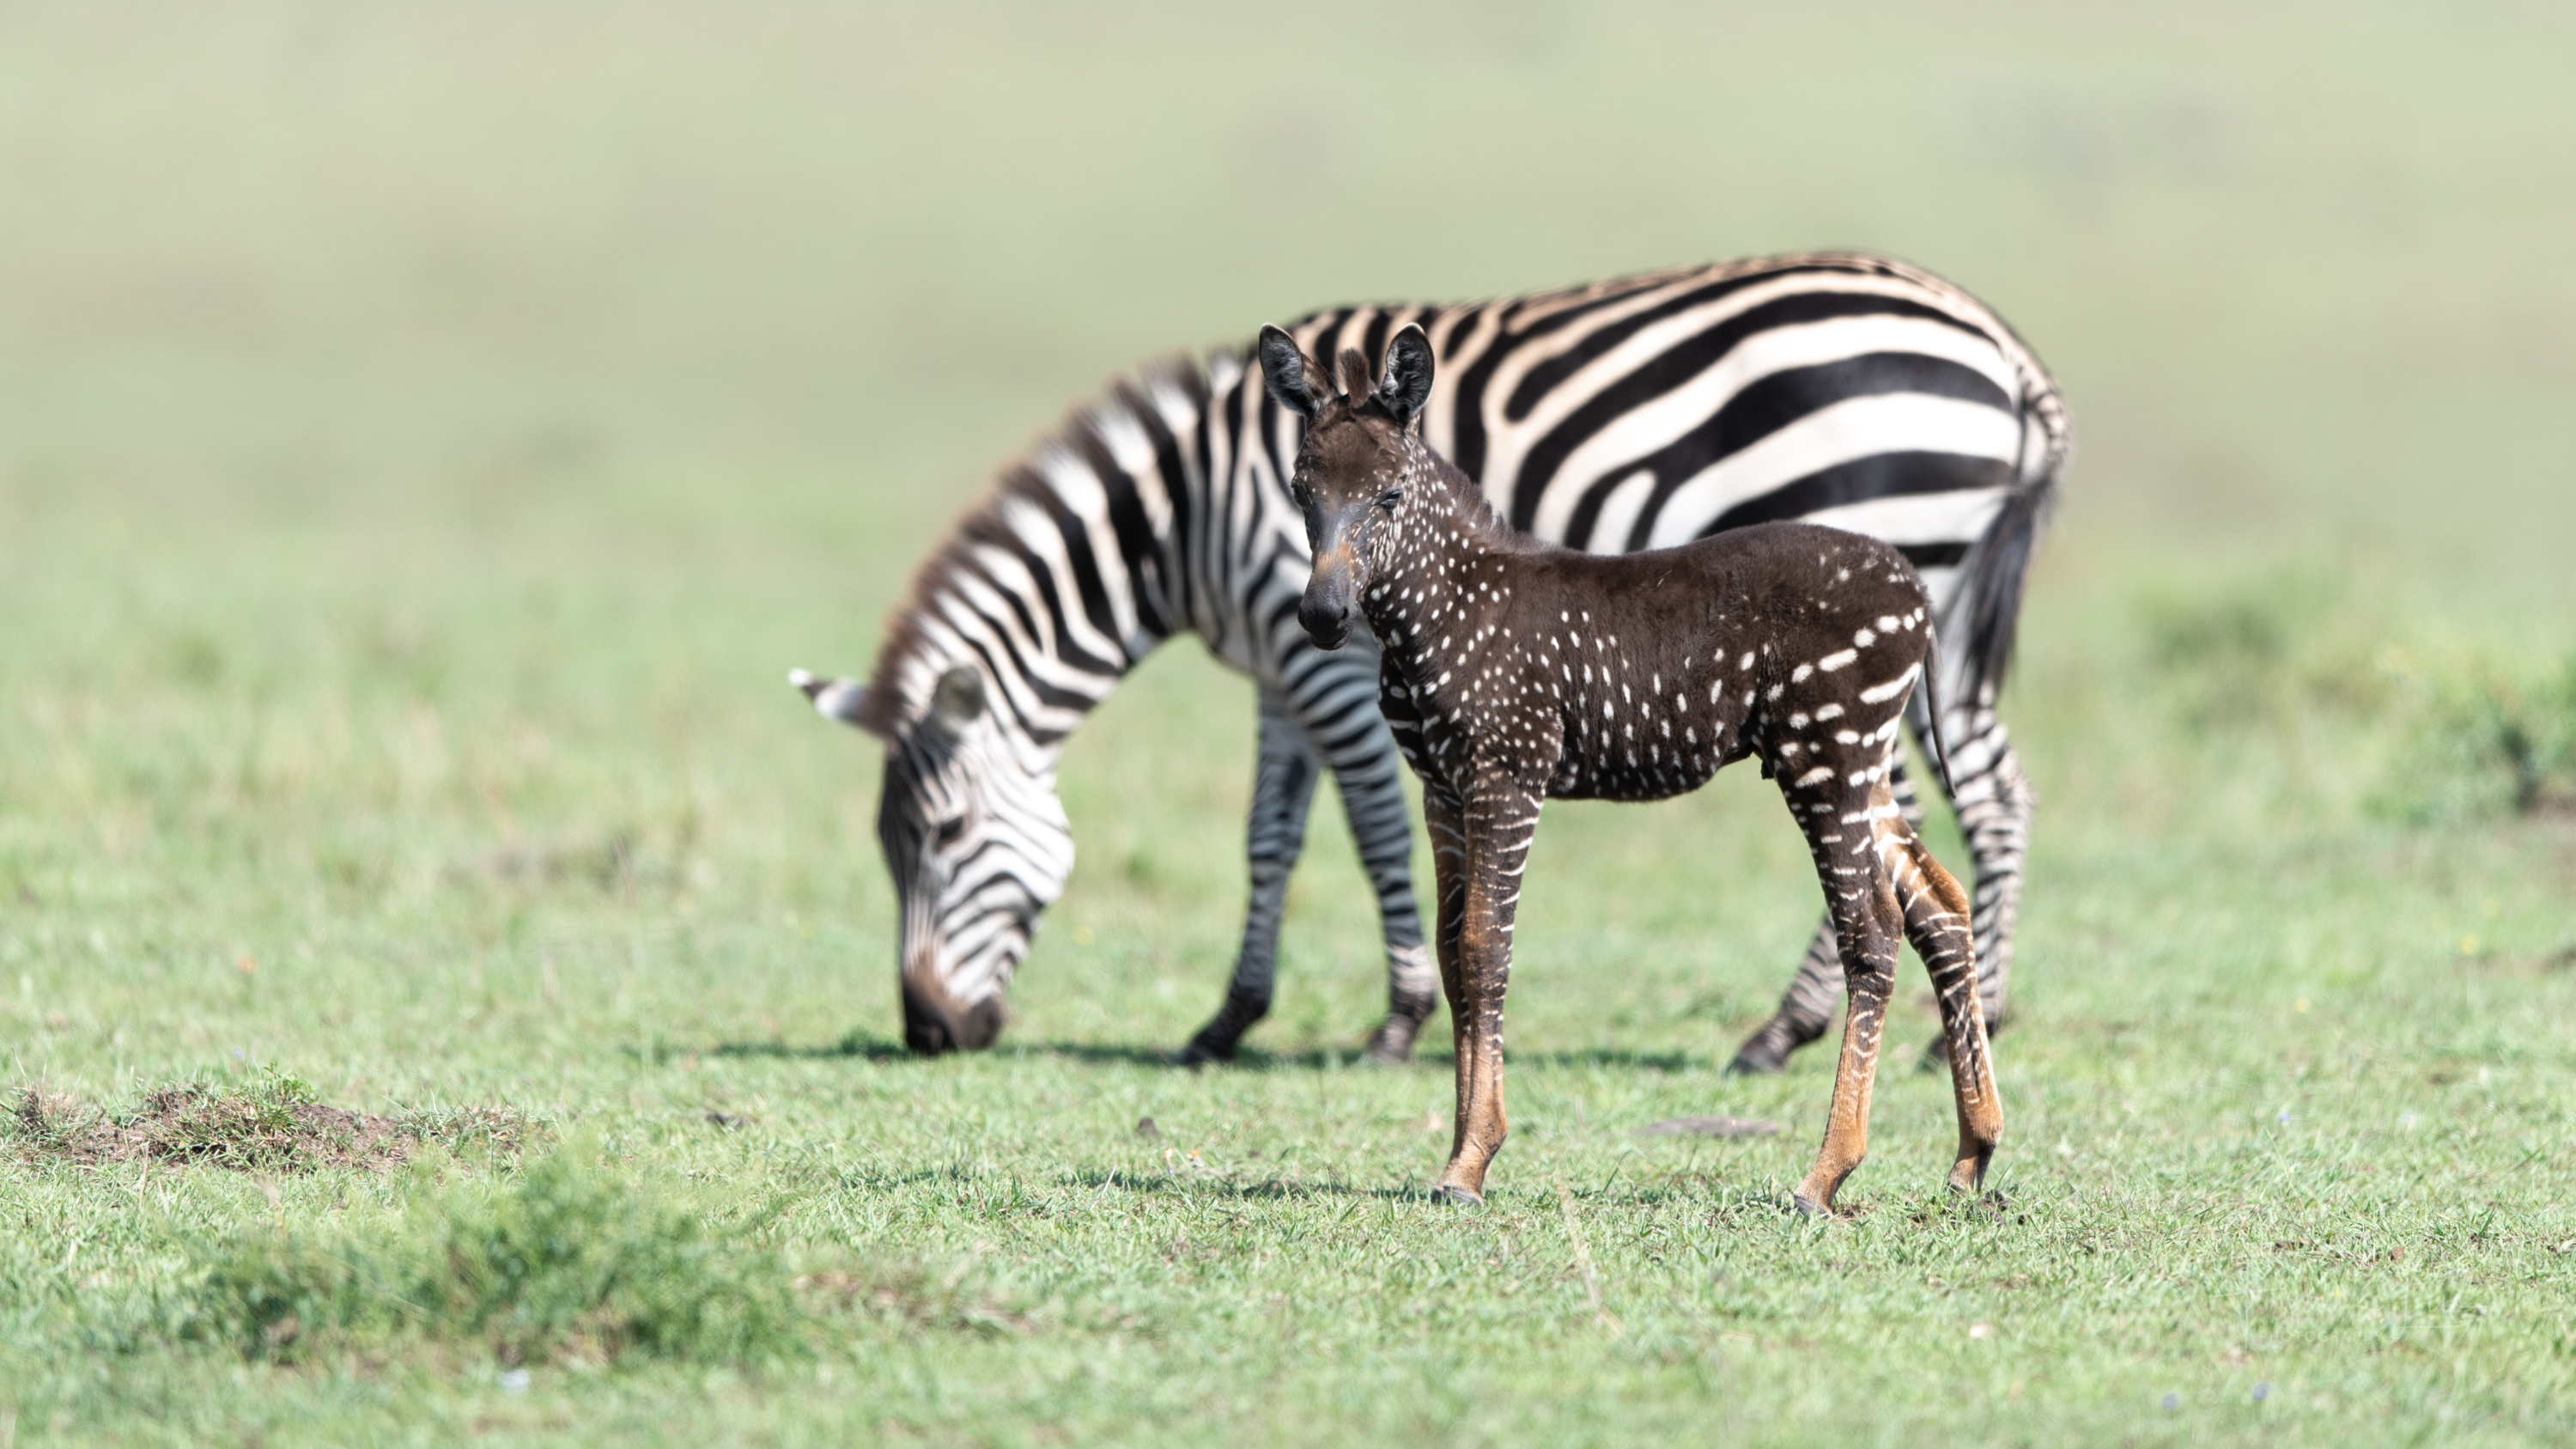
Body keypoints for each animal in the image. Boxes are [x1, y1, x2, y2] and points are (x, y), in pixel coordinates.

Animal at [793, 247, 2061, 1067]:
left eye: (945, 836)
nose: (928, 1033)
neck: (1184, 516)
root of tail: (2003, 346)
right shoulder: (1277, 665)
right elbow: (1269, 835)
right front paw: (1228, 1018)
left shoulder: (1322, 656)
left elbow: (1369, 827)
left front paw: (1396, 1019)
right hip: (1932, 611)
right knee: (1993, 790)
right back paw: (1968, 1019)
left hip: (1870, 580)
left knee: (1905, 809)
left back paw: (1790, 1029)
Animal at [1257, 318, 1999, 1206]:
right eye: (1301, 492)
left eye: (1391, 496)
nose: (1321, 616)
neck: (1436, 615)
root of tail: (1919, 593)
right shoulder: (1442, 787)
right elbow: (1450, 951)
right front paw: (1461, 1153)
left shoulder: (1508, 774)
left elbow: (1485, 948)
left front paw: (1472, 1159)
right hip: (1863, 770)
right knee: (1939, 906)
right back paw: (1974, 1150)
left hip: (1828, 758)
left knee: (1874, 929)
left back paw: (1828, 1172)